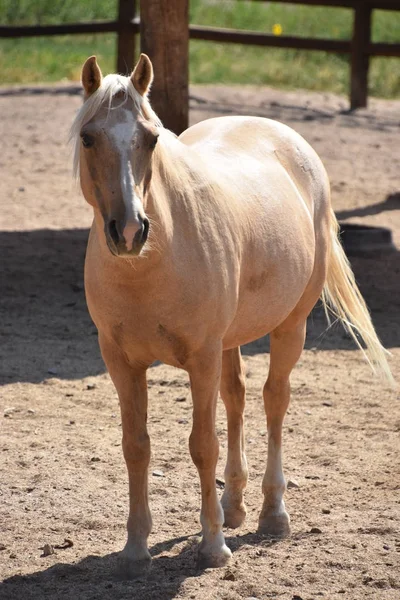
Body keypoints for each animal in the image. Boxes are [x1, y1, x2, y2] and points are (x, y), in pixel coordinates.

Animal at [70, 54, 392, 576]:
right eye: (88, 137)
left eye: (152, 138)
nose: (131, 231)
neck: (152, 263)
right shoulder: (121, 362)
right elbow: (136, 446)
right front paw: (136, 549)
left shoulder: (201, 358)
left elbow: (203, 445)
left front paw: (213, 546)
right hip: (230, 340)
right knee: (237, 399)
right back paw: (234, 505)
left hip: (290, 328)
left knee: (274, 401)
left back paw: (272, 515)